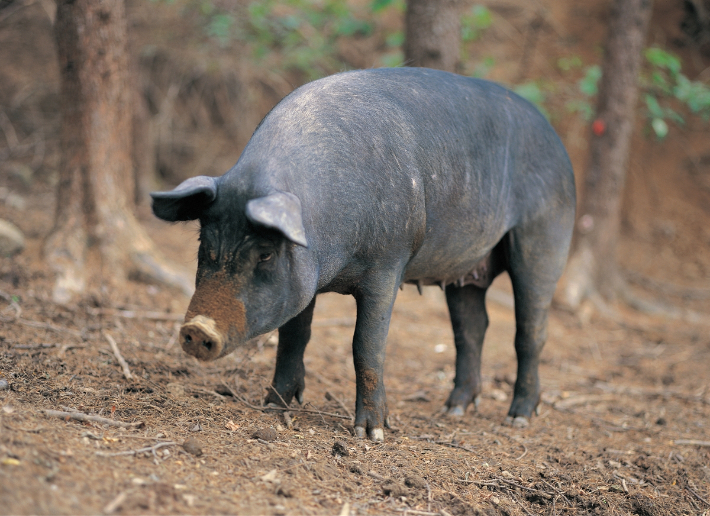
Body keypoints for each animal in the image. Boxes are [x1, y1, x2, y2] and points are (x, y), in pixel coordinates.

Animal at [153, 66, 576, 442]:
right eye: (204, 245)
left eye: (265, 256)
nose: (197, 329)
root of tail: (558, 141)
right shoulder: (305, 281)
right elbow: (294, 337)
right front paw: (274, 407)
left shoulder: (388, 262)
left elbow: (366, 346)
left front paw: (371, 434)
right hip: (466, 269)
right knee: (471, 328)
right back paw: (453, 409)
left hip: (544, 237)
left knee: (530, 331)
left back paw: (517, 418)